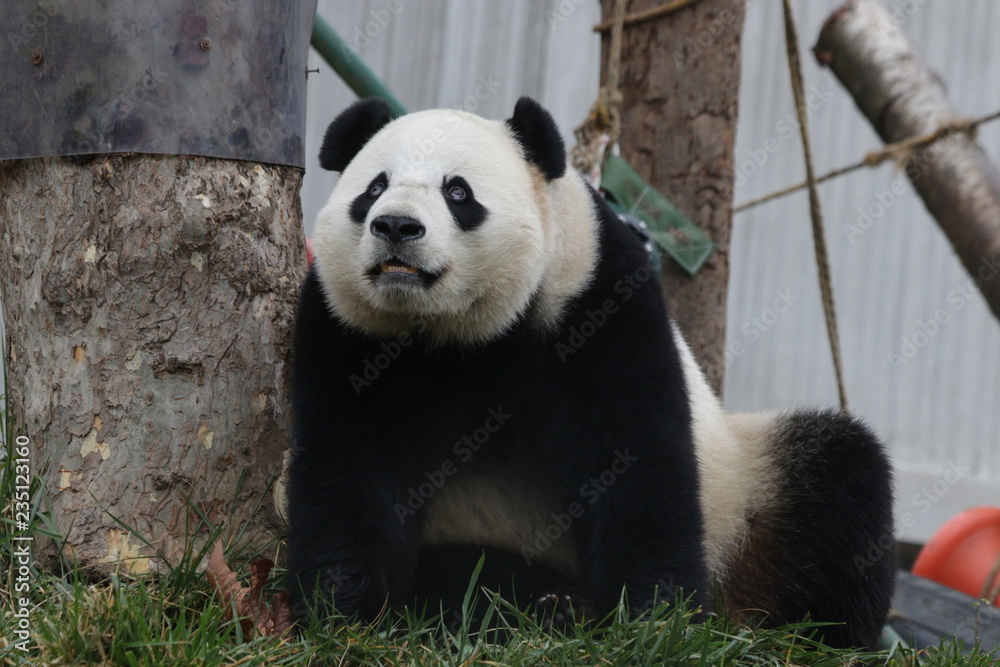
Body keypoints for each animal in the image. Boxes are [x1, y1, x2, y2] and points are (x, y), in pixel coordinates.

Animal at [285, 96, 896, 648]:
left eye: (457, 192)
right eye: (373, 188)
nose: (395, 225)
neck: (456, 333)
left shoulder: (593, 295)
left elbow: (634, 454)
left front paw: (654, 622)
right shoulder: (346, 332)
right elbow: (348, 463)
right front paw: (344, 615)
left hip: (745, 493)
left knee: (838, 482)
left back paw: (821, 635)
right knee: (470, 571)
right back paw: (543, 607)